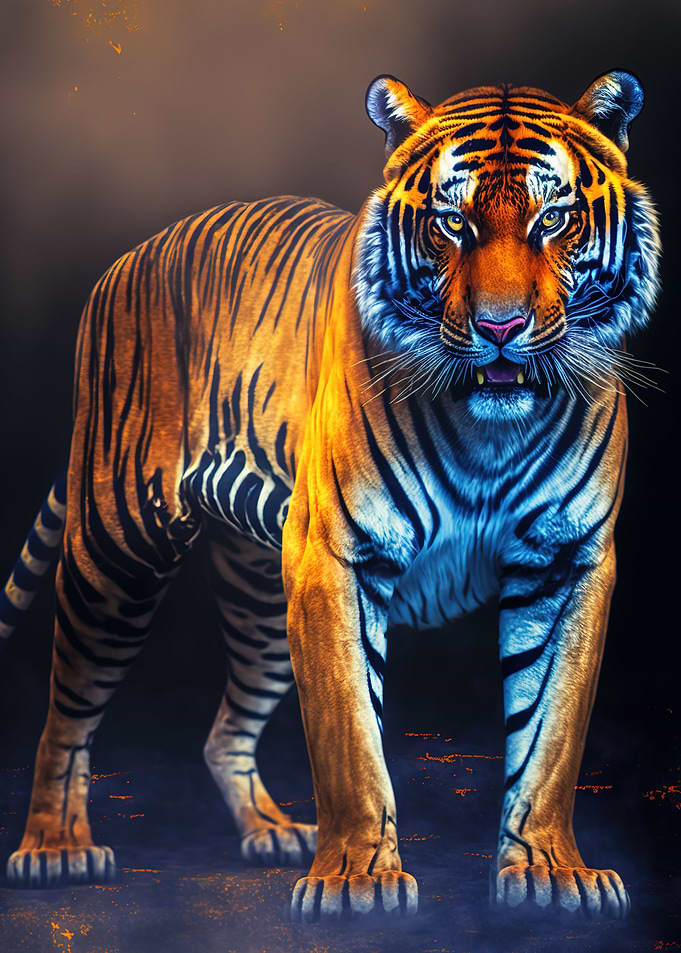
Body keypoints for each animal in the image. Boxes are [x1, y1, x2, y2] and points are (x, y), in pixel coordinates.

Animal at [1, 70, 659, 923]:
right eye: (451, 223)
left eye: (554, 219)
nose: (500, 326)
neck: (487, 426)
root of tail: (134, 252)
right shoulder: (335, 559)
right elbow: (349, 733)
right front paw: (357, 884)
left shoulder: (566, 559)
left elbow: (551, 735)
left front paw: (550, 873)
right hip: (115, 548)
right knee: (67, 708)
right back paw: (55, 847)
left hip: (258, 594)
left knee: (223, 731)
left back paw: (270, 831)